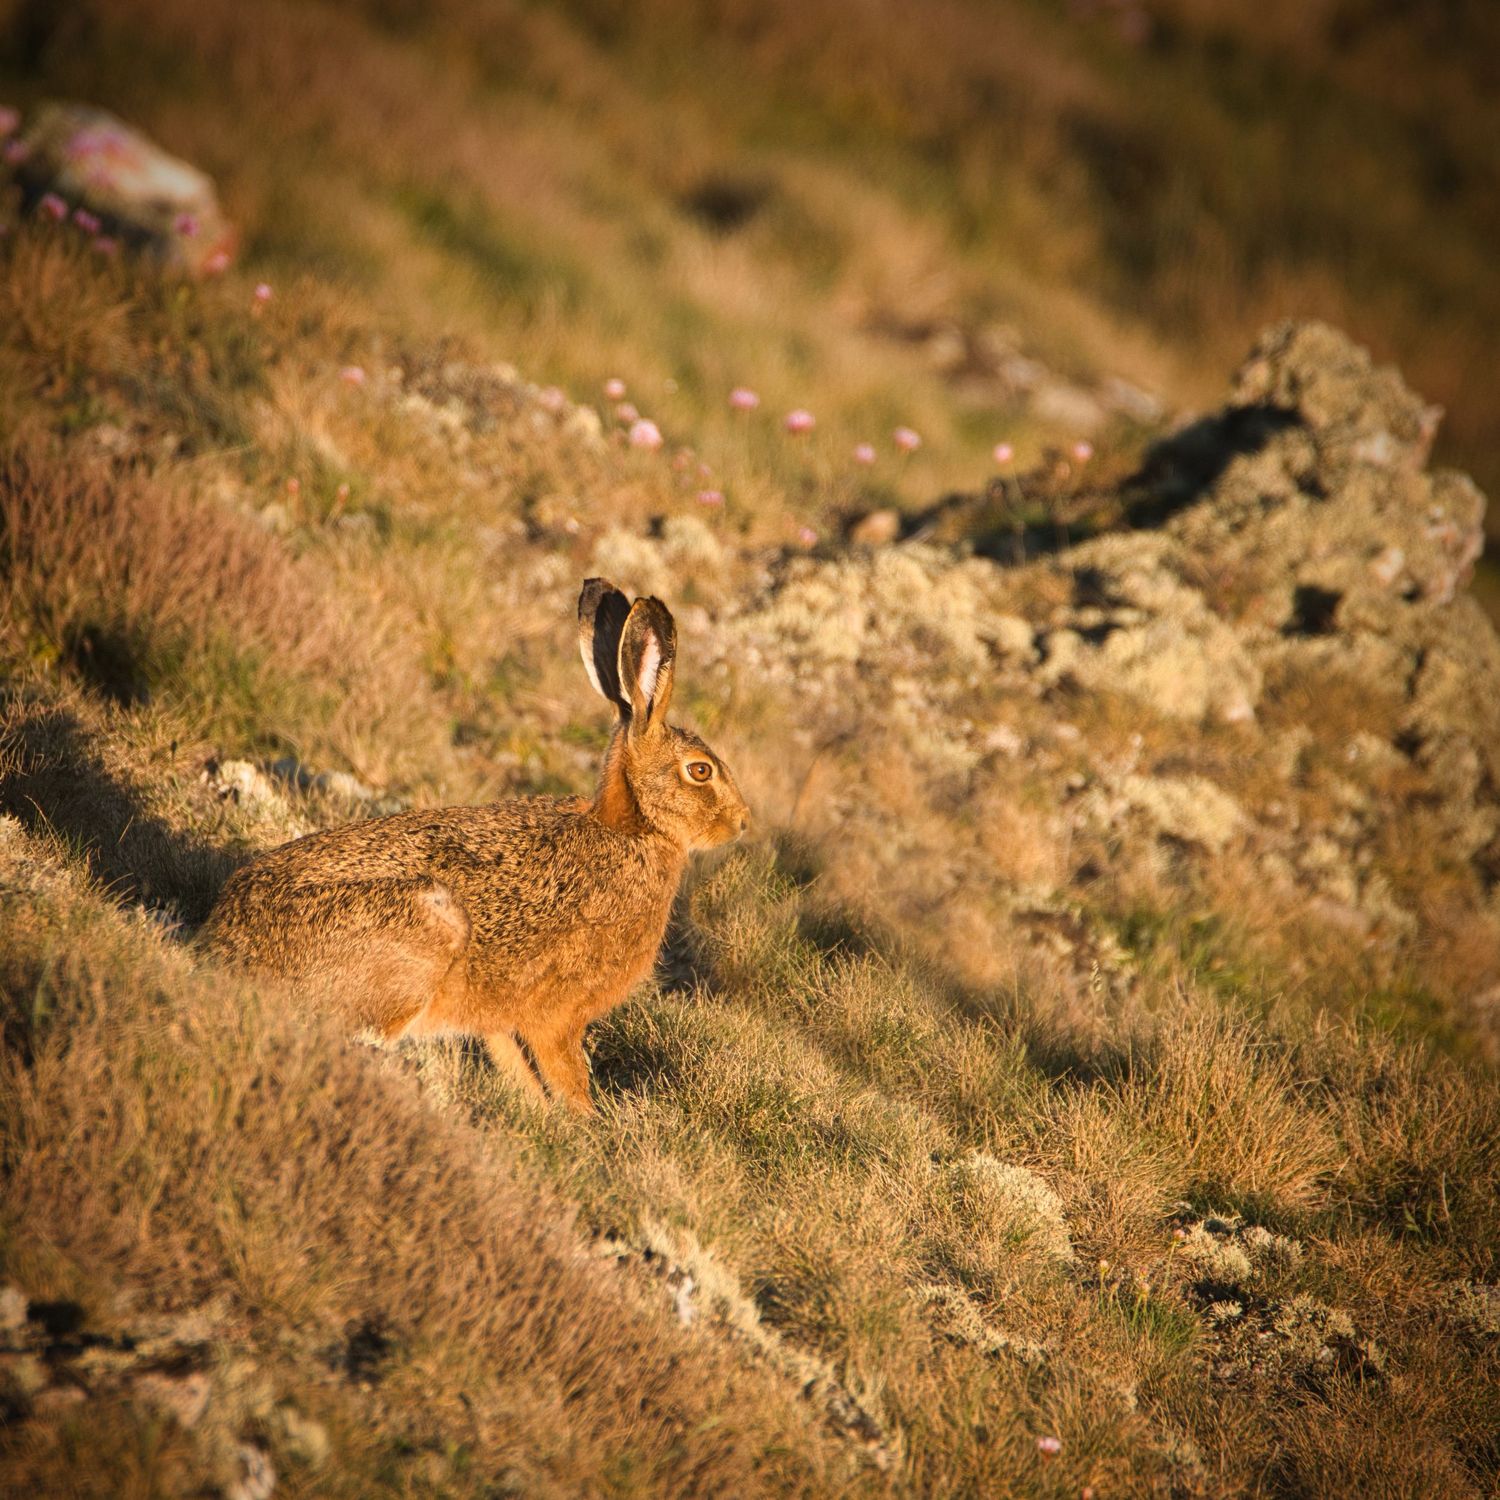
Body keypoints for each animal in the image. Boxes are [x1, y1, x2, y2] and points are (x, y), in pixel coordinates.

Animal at [200, 579, 750, 1113]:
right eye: (701, 771)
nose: (743, 821)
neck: (634, 828)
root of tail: (227, 946)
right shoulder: (558, 1014)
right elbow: (567, 1076)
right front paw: (588, 1128)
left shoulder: (500, 1021)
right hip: (429, 925)